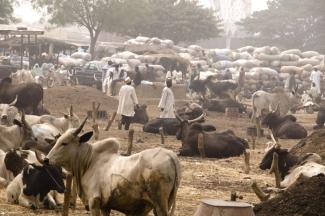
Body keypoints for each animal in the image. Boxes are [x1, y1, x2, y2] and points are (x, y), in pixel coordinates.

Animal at [45, 118, 181, 216]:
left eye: (64, 143)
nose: (46, 159)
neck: (89, 161)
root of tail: (171, 155)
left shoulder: (94, 202)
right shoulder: (106, 206)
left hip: (160, 205)